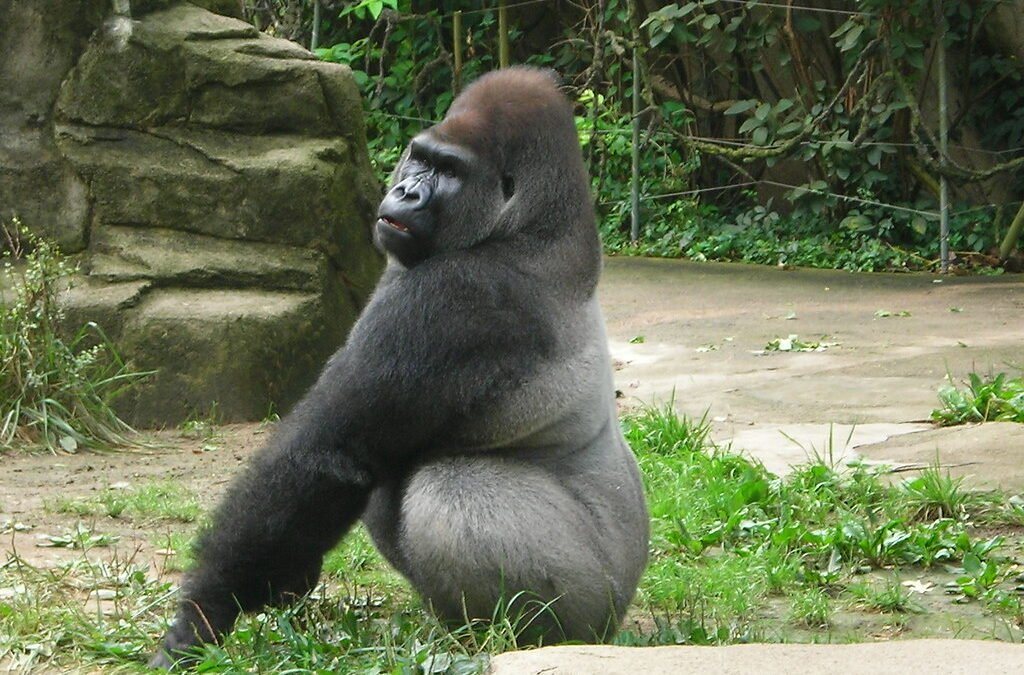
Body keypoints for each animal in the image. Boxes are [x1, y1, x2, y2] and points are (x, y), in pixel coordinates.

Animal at [149, 66, 649, 669]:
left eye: (450, 171)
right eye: (420, 158)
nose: (406, 191)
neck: (533, 225)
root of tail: (624, 607)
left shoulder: (451, 297)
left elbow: (328, 451)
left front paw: (201, 615)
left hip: (594, 602)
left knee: (451, 488)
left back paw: (516, 637)